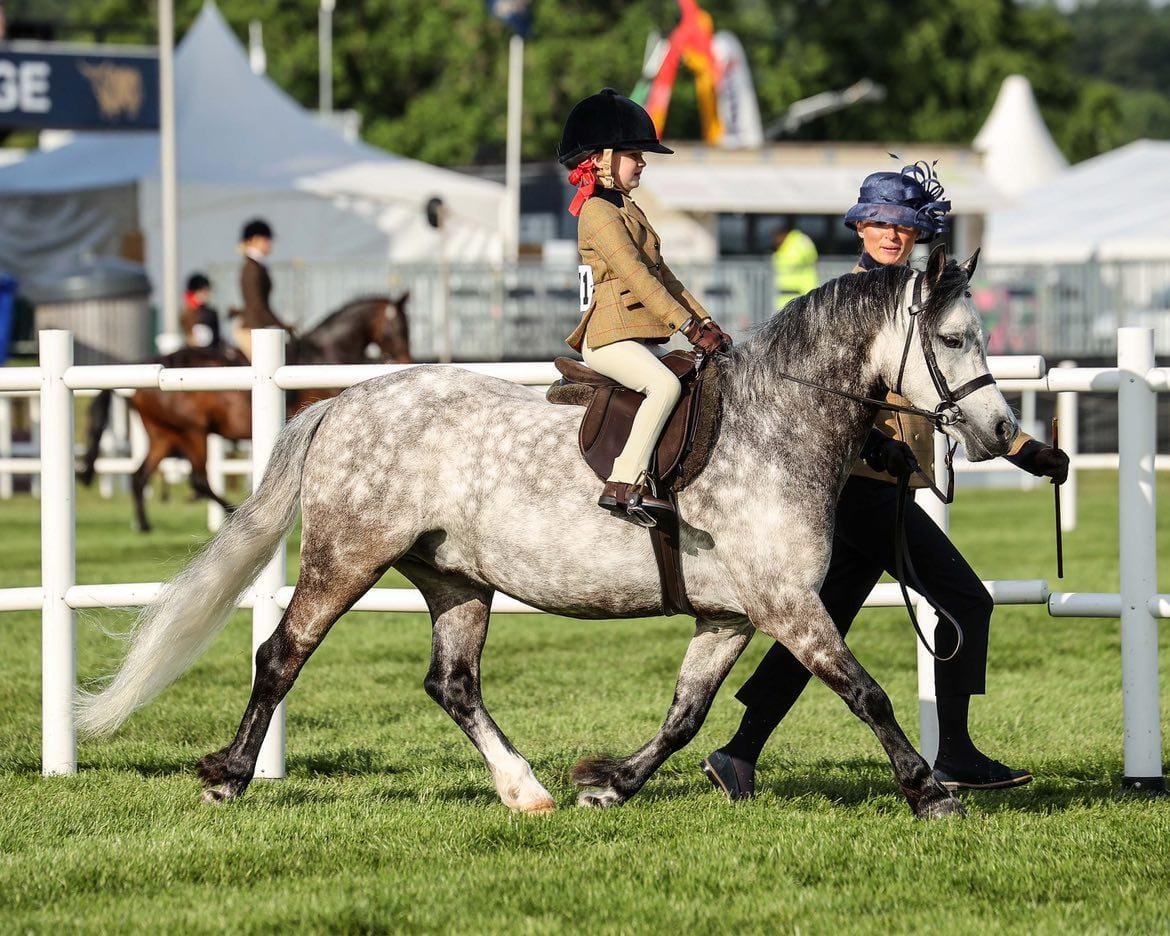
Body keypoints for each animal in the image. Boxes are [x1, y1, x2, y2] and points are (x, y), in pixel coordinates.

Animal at [82, 292, 411, 531]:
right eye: (397, 328)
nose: (405, 359)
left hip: (165, 434)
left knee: (140, 477)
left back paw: (145, 525)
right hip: (192, 432)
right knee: (199, 480)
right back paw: (238, 516)